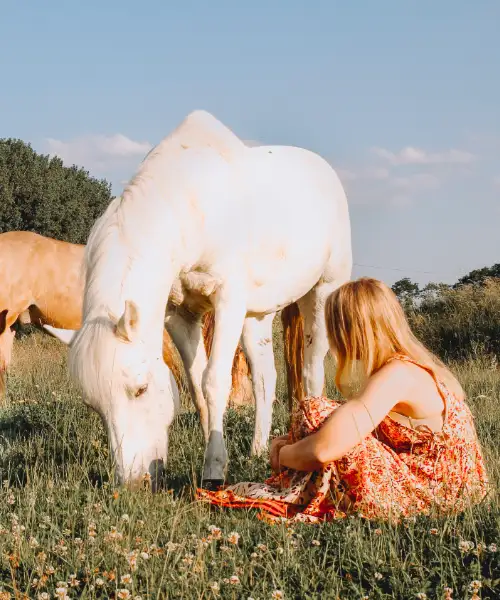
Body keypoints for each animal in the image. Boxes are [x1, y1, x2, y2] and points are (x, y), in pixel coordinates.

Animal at [51, 110, 352, 490]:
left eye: (141, 389)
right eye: (94, 407)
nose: (132, 482)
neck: (193, 207)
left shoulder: (228, 301)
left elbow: (214, 382)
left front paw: (213, 470)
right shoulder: (180, 315)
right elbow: (196, 387)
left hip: (323, 293)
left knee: (312, 371)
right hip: (256, 316)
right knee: (265, 378)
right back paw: (257, 449)